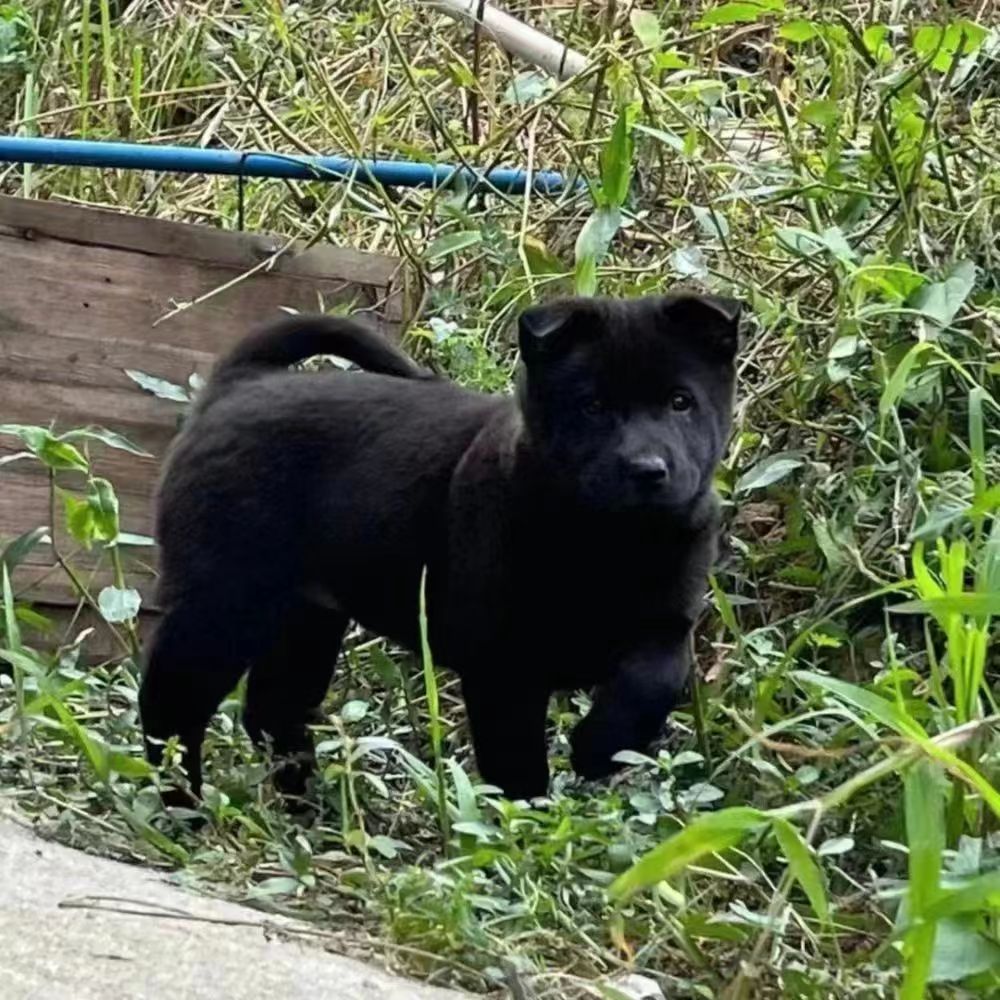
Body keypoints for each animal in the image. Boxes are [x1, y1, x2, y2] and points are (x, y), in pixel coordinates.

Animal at [137, 292, 740, 800]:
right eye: (591, 406)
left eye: (681, 402)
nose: (648, 469)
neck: (608, 540)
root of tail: (241, 383)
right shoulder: (503, 662)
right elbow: (514, 759)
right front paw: (522, 826)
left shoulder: (666, 622)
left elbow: (652, 681)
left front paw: (601, 747)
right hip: (223, 598)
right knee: (173, 707)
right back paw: (184, 806)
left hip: (306, 616)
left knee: (273, 710)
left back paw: (310, 812)